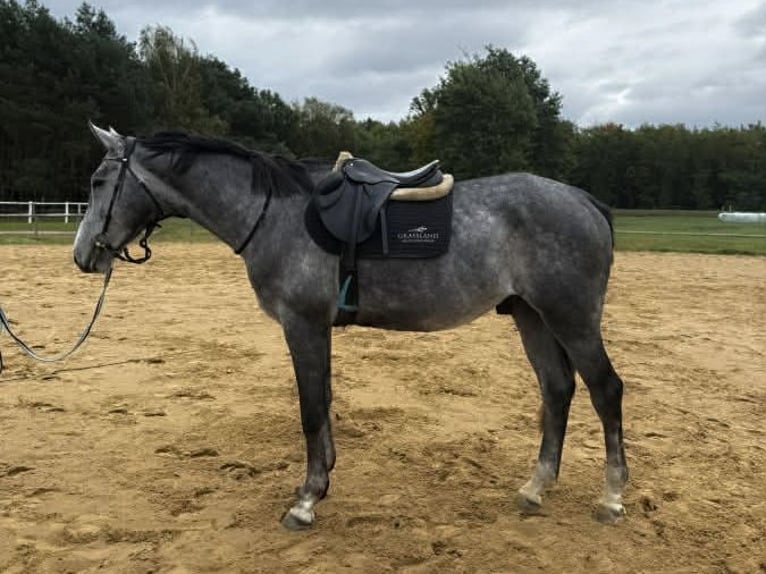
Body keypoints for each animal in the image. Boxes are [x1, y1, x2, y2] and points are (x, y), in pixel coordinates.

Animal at [73, 123, 628, 530]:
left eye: (99, 182)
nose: (83, 256)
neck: (273, 214)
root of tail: (584, 202)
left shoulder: (302, 325)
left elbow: (309, 410)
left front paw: (305, 501)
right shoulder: (314, 329)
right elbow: (323, 403)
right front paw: (321, 483)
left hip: (571, 318)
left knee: (605, 389)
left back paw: (612, 497)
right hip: (531, 316)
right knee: (557, 389)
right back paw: (535, 489)